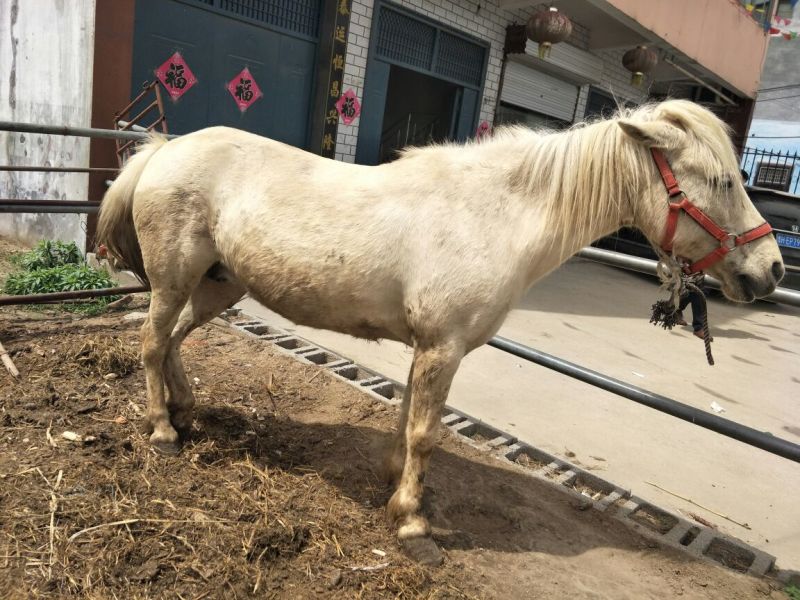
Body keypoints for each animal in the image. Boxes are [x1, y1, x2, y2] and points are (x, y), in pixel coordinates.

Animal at [97, 99, 784, 565]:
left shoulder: (427, 348)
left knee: (175, 341)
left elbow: (407, 419)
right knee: (152, 342)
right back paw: (162, 431)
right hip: (175, 280)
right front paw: (412, 526)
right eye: (722, 181)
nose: (772, 270)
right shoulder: (444, 348)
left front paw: (392, 483)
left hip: (219, 285)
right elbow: (427, 433)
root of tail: (165, 148)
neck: (497, 214)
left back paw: (185, 410)